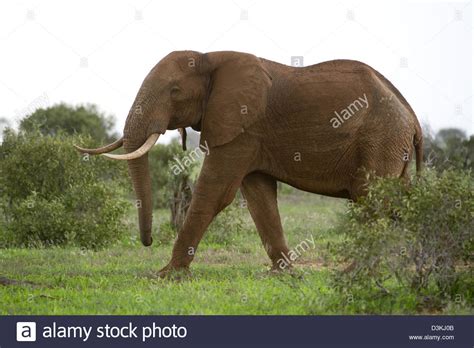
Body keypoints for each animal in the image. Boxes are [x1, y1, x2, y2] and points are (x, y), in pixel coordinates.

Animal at [76, 50, 424, 278]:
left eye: (174, 91)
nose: (146, 243)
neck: (209, 58)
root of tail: (412, 116)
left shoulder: (241, 127)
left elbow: (215, 193)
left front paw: (165, 275)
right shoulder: (249, 135)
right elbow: (259, 198)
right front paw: (282, 274)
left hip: (380, 139)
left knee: (372, 200)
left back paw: (354, 273)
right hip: (393, 148)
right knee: (396, 203)